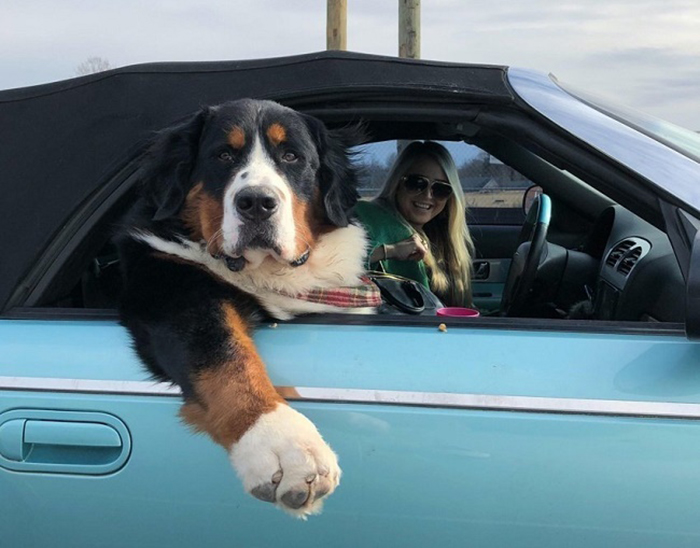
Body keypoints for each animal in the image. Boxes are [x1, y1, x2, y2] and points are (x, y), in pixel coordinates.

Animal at [116, 99, 378, 520]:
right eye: (223, 155)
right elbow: (225, 354)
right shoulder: (167, 286)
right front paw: (280, 440)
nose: (256, 202)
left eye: (291, 156)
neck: (266, 274)